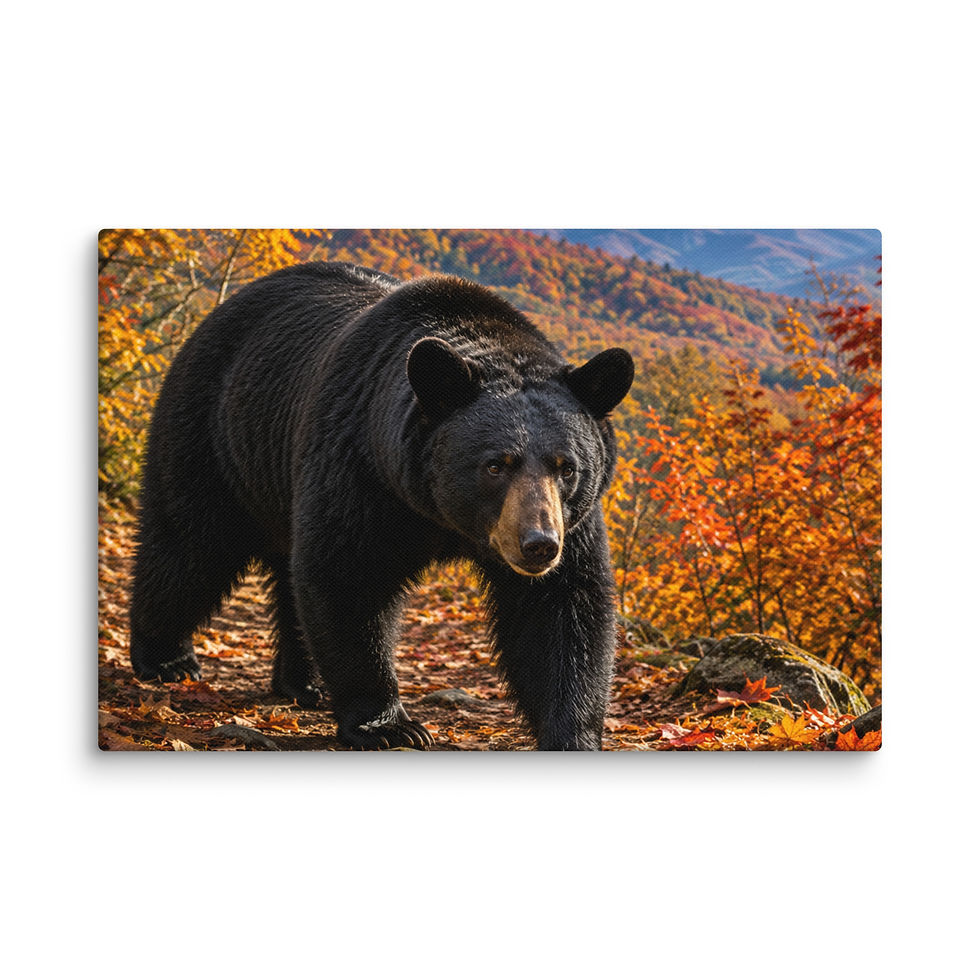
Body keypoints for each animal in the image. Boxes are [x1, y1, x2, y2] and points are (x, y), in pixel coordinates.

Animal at [129, 261, 634, 750]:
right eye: (496, 465)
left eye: (566, 467)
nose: (538, 545)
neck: (438, 513)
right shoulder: (361, 469)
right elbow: (349, 574)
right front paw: (389, 725)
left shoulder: (574, 522)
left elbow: (561, 607)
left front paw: (572, 733)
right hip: (216, 435)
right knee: (190, 544)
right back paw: (166, 658)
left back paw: (303, 683)